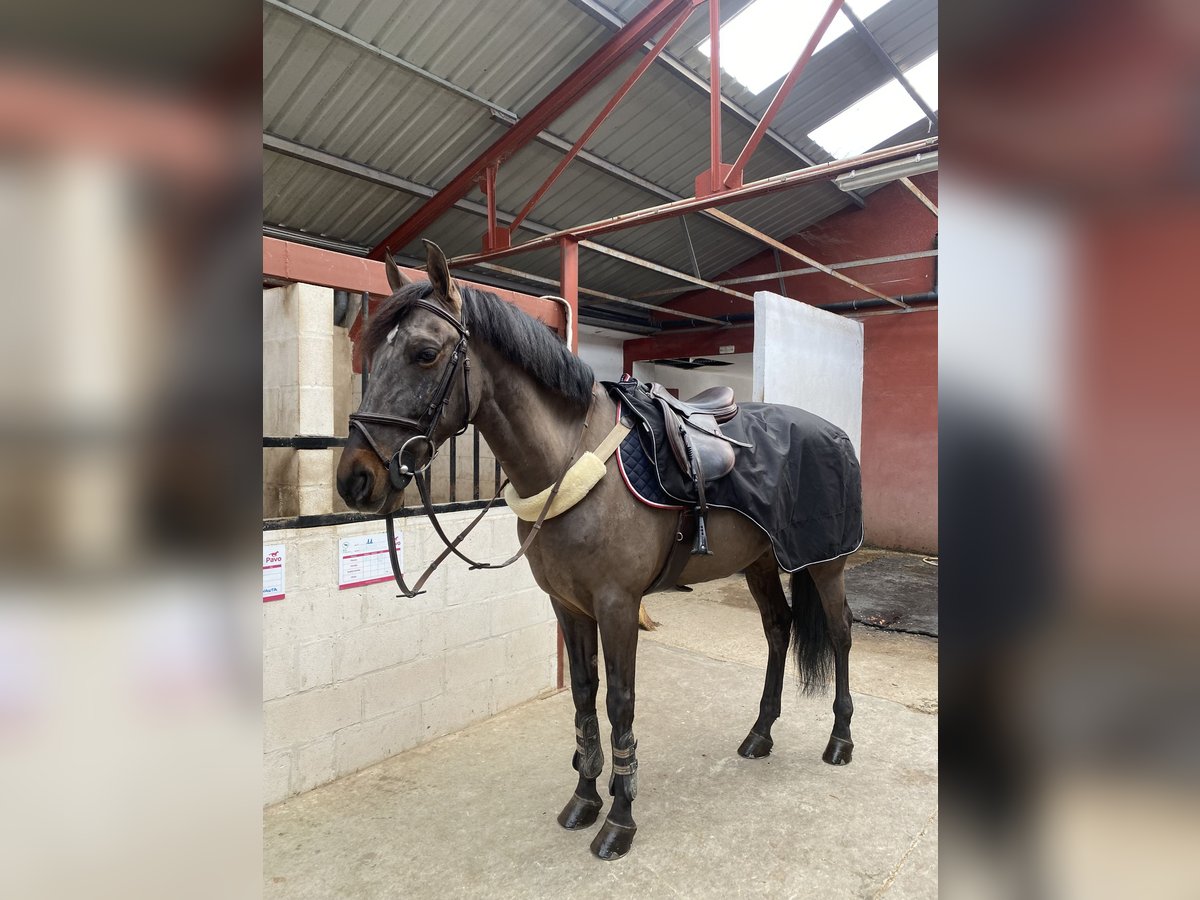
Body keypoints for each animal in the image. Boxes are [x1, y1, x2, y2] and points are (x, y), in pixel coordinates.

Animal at [333, 243, 859, 864]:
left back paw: (840, 740)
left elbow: (619, 704)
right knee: (778, 629)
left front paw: (620, 820)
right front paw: (585, 798)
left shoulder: (617, 604)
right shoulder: (569, 605)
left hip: (825, 562)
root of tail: (834, 433)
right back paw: (760, 733)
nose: (355, 479)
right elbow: (584, 698)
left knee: (840, 632)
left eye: (425, 353)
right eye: (371, 357)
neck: (570, 458)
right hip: (757, 561)